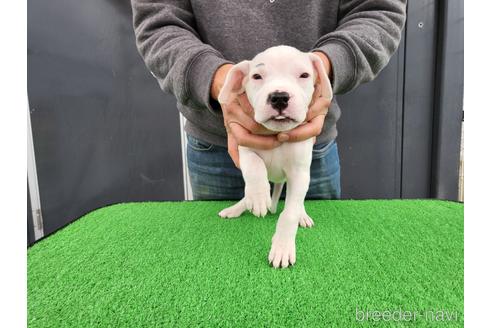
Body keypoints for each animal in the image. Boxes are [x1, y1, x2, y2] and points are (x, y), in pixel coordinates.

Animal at [217, 44, 332, 268]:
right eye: (257, 76)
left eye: (304, 75)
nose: (279, 97)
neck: (277, 134)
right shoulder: (244, 144)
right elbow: (254, 166)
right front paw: (259, 197)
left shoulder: (300, 174)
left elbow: (289, 213)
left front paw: (282, 248)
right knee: (247, 194)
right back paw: (239, 206)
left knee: (298, 203)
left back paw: (302, 216)